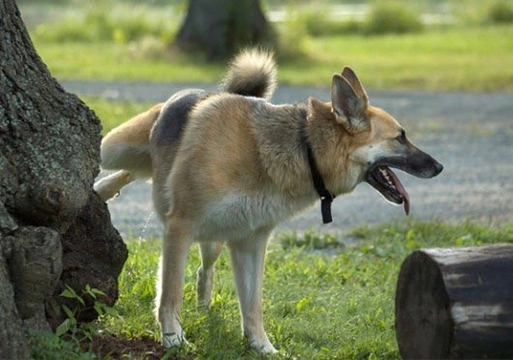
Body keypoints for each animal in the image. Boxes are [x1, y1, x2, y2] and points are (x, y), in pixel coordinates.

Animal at [94, 48, 442, 354]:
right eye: (400, 138)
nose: (439, 167)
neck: (302, 148)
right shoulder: (180, 227)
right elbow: (170, 293)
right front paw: (173, 339)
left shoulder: (249, 242)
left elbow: (252, 305)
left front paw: (262, 347)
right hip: (116, 148)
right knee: (120, 164)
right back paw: (101, 187)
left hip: (214, 238)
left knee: (204, 269)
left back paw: (204, 304)